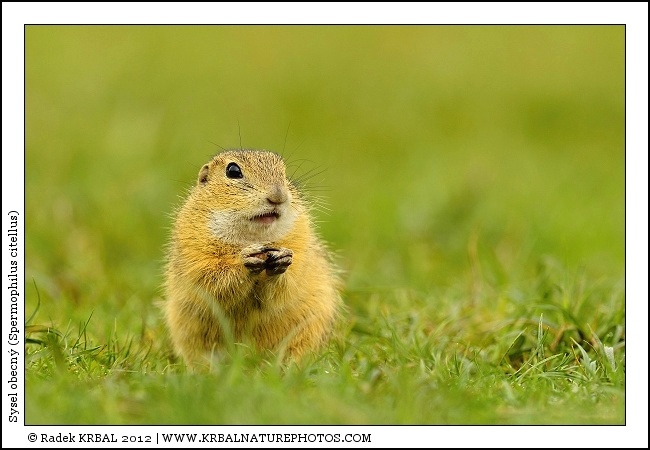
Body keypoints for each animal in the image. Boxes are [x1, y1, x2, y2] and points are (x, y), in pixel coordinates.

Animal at [164, 149, 342, 368]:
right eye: (233, 171)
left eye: (284, 172)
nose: (278, 196)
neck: (253, 238)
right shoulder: (195, 250)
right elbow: (211, 279)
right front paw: (245, 261)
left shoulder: (300, 242)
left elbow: (290, 282)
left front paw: (282, 261)